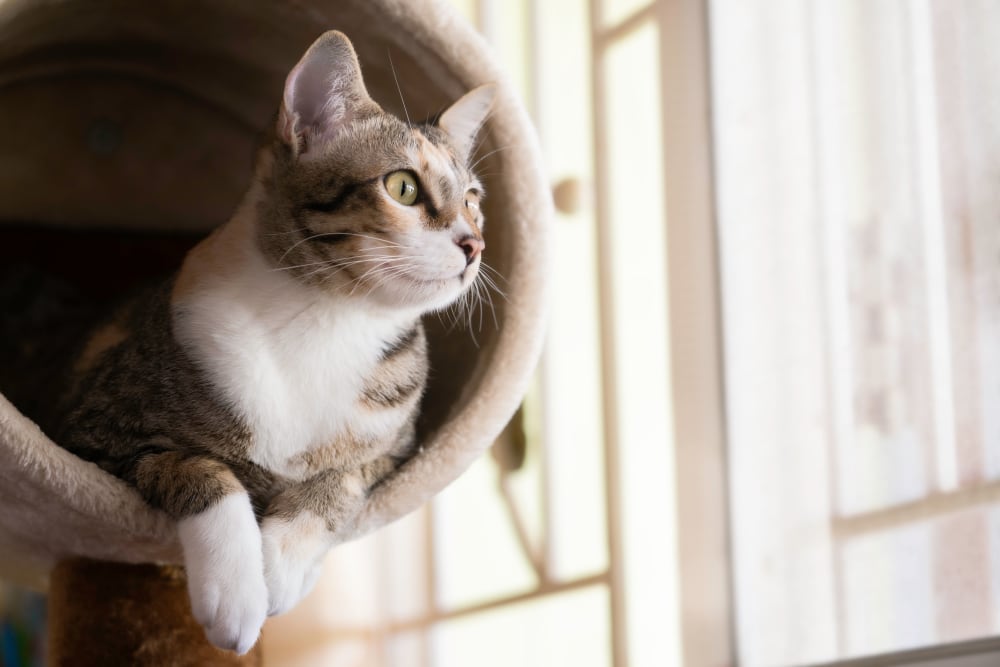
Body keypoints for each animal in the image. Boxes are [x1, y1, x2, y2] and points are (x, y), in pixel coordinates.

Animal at [3, 30, 494, 652]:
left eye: (473, 199)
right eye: (402, 186)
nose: (475, 244)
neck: (326, 318)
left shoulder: (398, 450)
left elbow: (341, 478)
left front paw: (282, 566)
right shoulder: (90, 428)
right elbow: (201, 468)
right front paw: (236, 594)